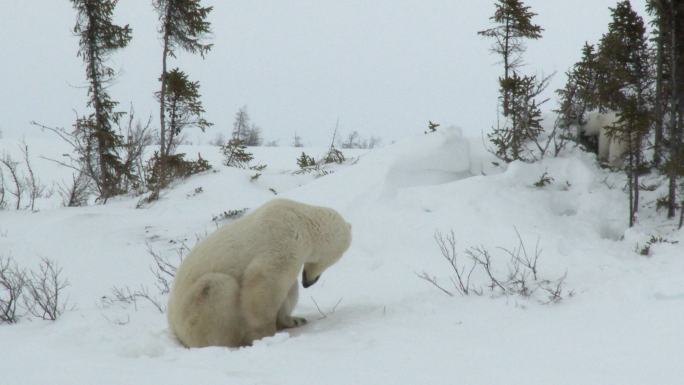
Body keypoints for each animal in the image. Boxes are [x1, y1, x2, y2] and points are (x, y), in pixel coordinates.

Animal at [167, 198, 352, 348]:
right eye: (333, 261)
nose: (308, 283)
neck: (303, 220)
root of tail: (175, 330)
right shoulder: (284, 239)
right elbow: (264, 283)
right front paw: (265, 334)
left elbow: (287, 290)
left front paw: (294, 320)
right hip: (192, 313)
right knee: (215, 287)